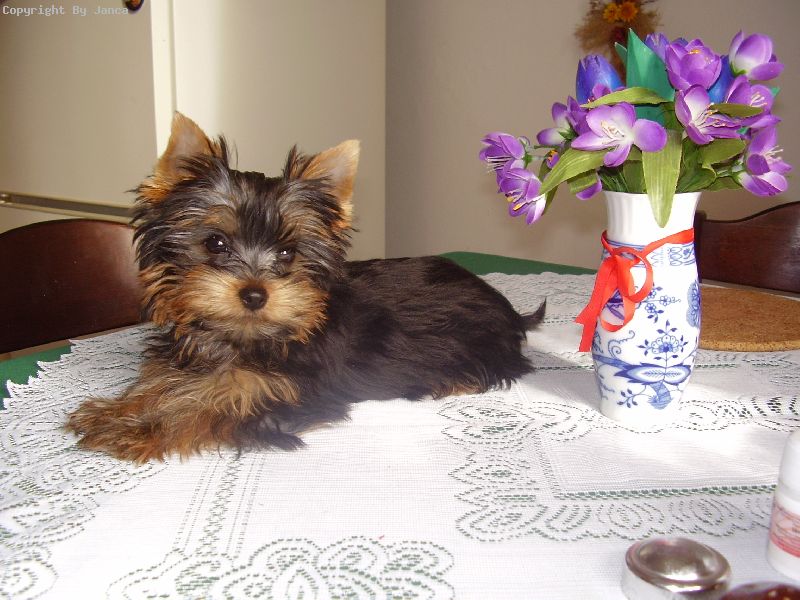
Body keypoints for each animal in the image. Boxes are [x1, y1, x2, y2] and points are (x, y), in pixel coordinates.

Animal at [65, 113, 544, 462]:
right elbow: (166, 382)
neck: (240, 339)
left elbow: (210, 407)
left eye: (287, 253)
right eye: (216, 243)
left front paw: (145, 428)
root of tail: (505, 306)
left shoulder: (285, 393)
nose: (254, 294)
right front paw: (117, 410)